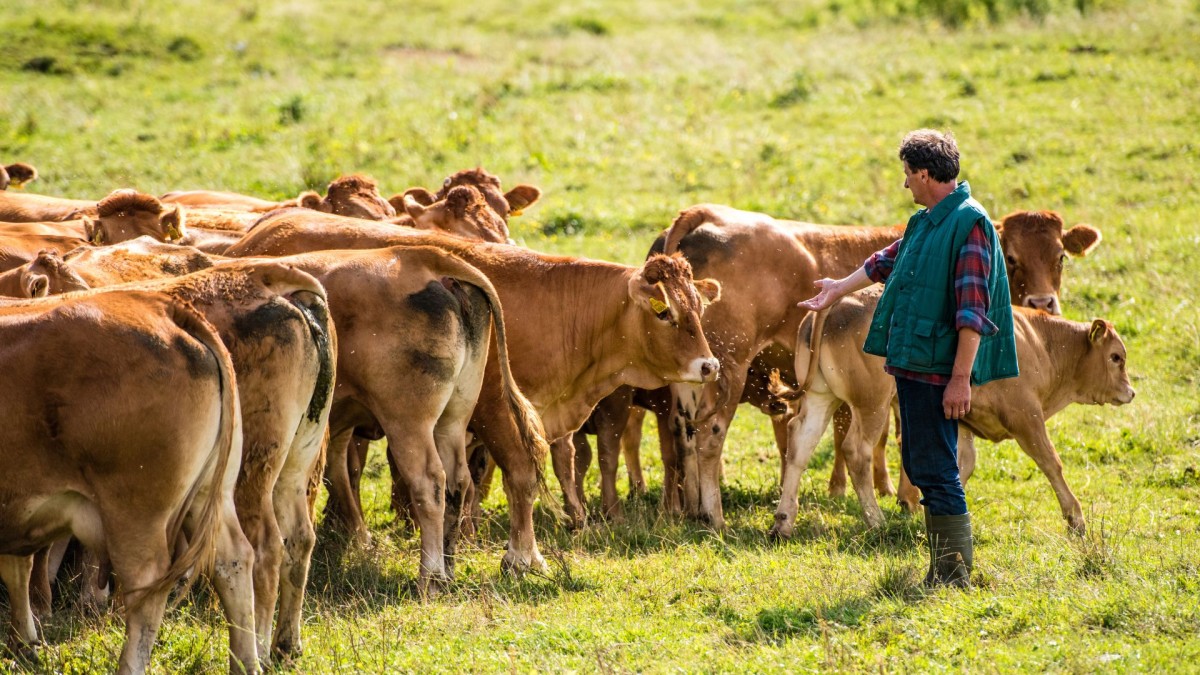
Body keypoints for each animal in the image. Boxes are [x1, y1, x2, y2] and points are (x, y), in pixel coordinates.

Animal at [0, 288, 258, 667]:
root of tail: (160, 306)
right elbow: (17, 569)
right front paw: (25, 645)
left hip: (135, 513)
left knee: (147, 588)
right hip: (214, 493)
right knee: (233, 563)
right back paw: (246, 663)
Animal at [228, 223, 720, 569]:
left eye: (699, 308)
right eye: (664, 312)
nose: (709, 365)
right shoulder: (495, 407)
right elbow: (519, 471)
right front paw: (523, 556)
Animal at [768, 289, 1132, 535]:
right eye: (1116, 357)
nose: (1130, 392)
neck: (1039, 344)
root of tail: (836, 303)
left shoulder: (962, 419)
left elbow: (961, 465)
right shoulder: (1026, 417)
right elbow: (1051, 463)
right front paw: (1076, 519)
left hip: (821, 398)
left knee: (800, 445)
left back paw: (784, 521)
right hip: (872, 404)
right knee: (857, 451)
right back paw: (876, 521)